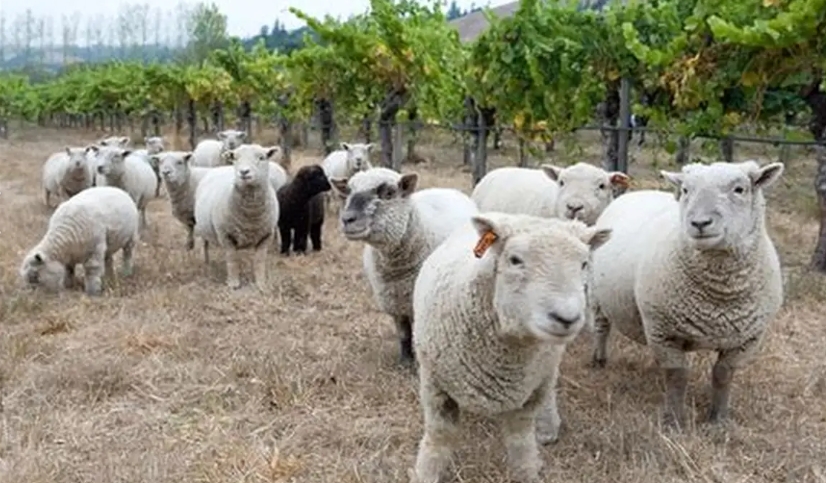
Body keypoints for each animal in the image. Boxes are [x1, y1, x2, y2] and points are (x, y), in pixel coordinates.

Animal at [194, 143, 280, 290]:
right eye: (235, 158)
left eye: (261, 157)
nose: (243, 172)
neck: (251, 215)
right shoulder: (226, 235)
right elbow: (232, 260)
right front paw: (233, 283)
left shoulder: (267, 236)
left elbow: (259, 261)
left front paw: (261, 284)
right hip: (201, 227)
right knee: (203, 244)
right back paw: (205, 263)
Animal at [331, 167, 479, 366]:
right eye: (348, 192)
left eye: (389, 193)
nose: (347, 219)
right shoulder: (395, 303)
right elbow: (404, 334)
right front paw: (405, 360)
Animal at [410, 212, 611, 483]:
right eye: (515, 260)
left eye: (584, 264)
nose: (567, 318)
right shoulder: (436, 387)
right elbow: (439, 438)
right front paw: (424, 473)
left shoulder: (529, 396)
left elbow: (521, 445)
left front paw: (528, 472)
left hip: (547, 372)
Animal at [588, 160, 785, 429]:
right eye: (685, 190)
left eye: (739, 189)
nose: (700, 223)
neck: (719, 296)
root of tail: (637, 192)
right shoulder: (663, 331)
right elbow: (677, 375)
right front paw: (674, 421)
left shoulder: (747, 339)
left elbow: (723, 375)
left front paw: (718, 421)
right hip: (596, 294)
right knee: (601, 328)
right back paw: (599, 360)